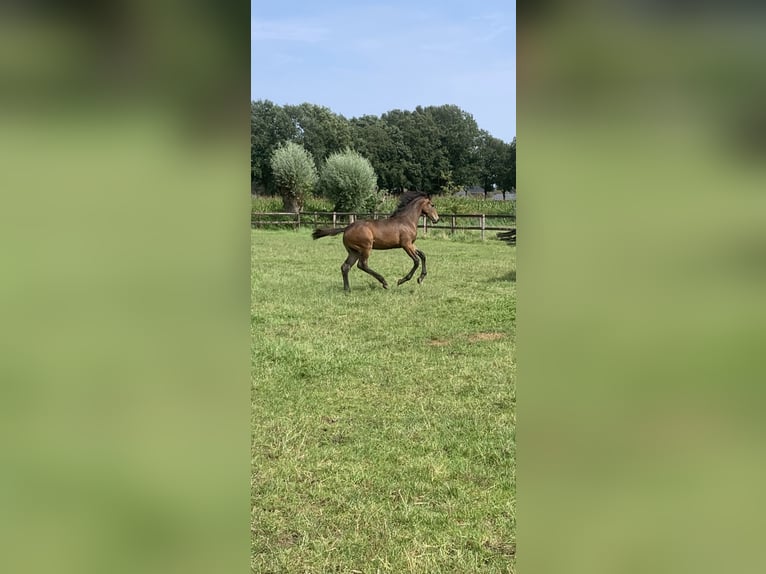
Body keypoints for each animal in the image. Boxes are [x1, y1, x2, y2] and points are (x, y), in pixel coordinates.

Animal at [312, 192, 440, 292]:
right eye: (432, 205)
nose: (436, 219)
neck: (406, 220)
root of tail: (347, 228)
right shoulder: (406, 244)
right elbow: (416, 261)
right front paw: (401, 281)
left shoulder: (411, 244)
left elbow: (423, 255)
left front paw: (421, 278)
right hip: (366, 248)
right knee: (362, 264)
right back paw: (384, 282)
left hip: (354, 251)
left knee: (345, 266)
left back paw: (347, 289)